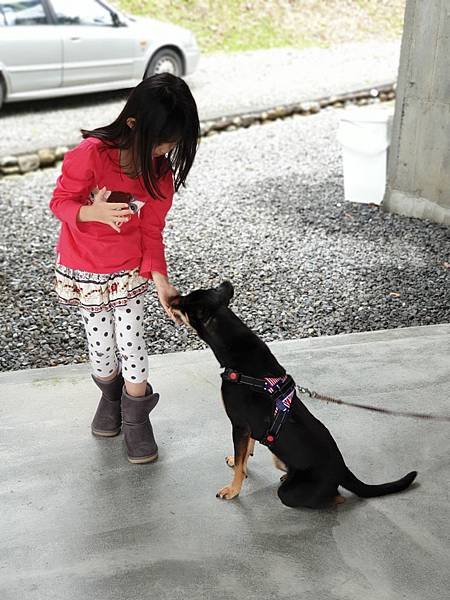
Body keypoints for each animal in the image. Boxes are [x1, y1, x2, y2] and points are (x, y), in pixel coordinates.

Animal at [171, 282, 416, 506]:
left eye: (184, 302)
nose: (171, 299)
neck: (236, 350)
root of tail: (343, 469)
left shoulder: (239, 424)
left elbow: (241, 462)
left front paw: (233, 489)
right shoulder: (248, 428)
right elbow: (246, 451)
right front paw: (238, 461)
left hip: (292, 493)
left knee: (335, 498)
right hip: (278, 458)